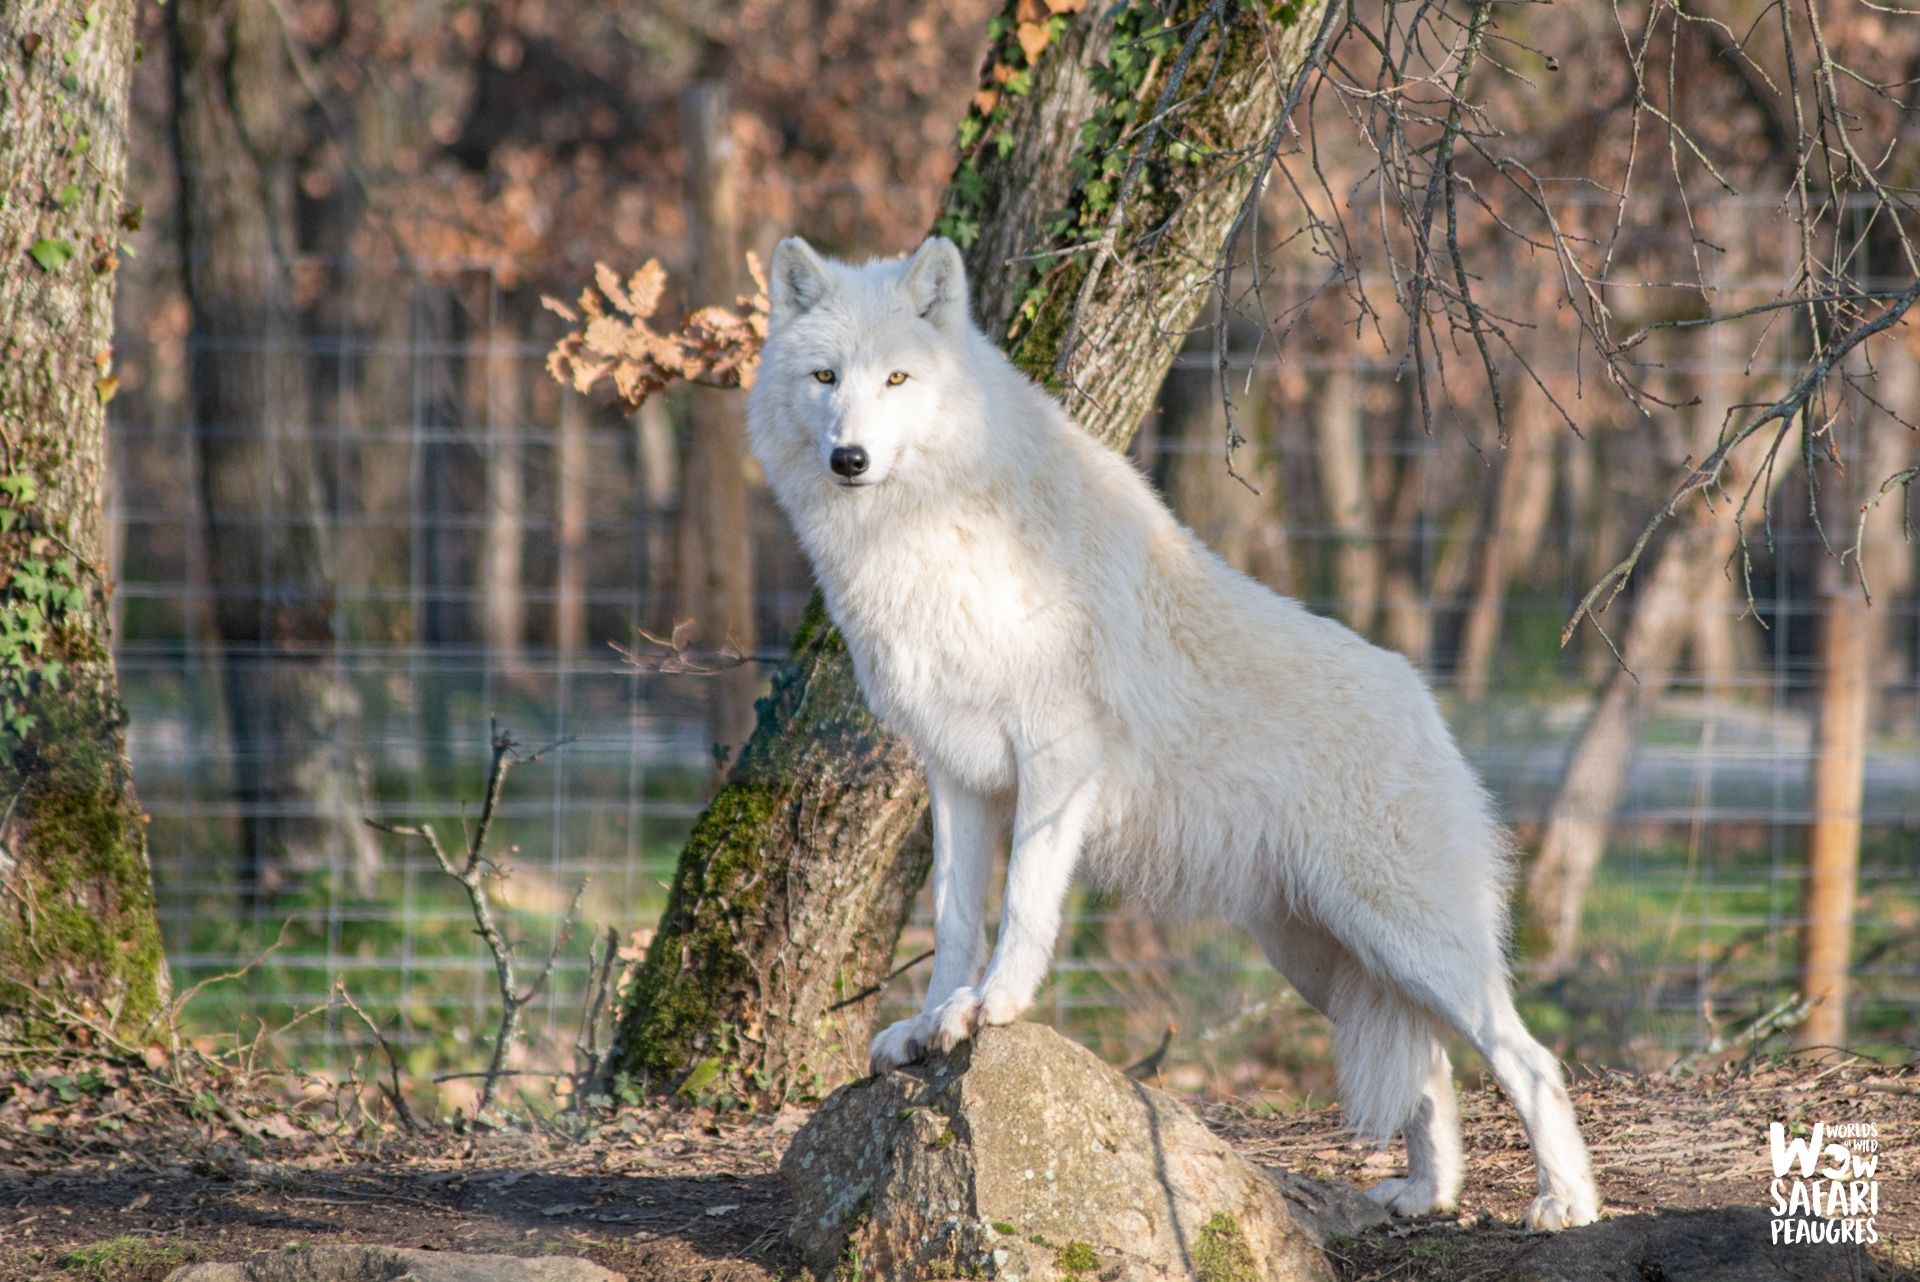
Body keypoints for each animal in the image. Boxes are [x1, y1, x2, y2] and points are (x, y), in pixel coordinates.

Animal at [745, 235, 1599, 1231]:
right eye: (825, 377)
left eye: (896, 379)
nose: (849, 457)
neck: (931, 528)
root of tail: (1425, 706)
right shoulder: (956, 776)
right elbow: (955, 919)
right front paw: (929, 1025)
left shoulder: (1054, 759)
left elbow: (1022, 907)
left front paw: (993, 1007)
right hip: (1329, 963)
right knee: (1429, 1070)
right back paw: (1426, 1195)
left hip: (1408, 941)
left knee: (1528, 1058)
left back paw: (1565, 1201)